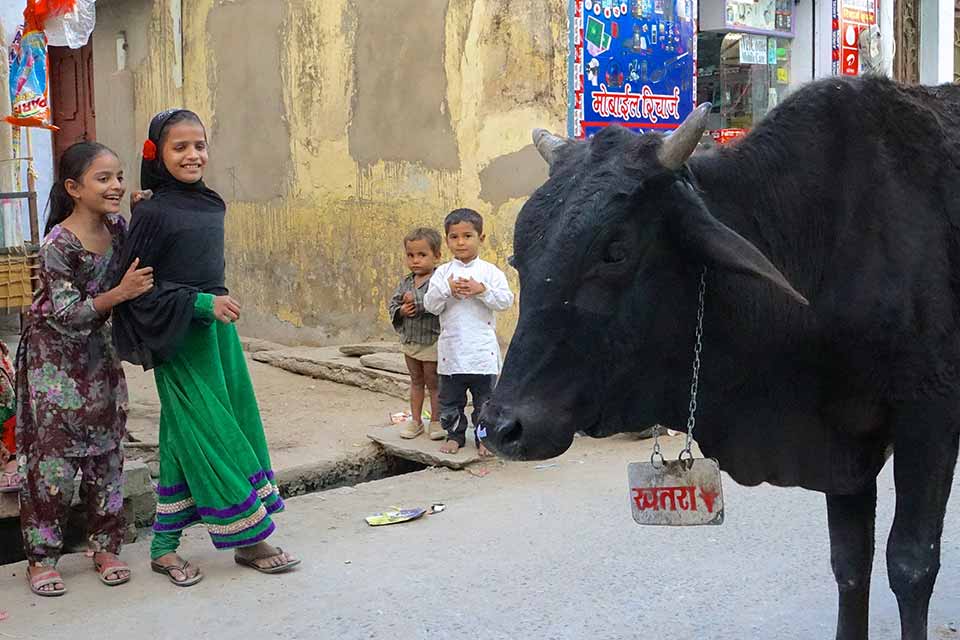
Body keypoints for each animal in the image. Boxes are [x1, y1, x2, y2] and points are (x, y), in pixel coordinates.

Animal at [480, 79, 960, 640]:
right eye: (520, 253)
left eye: (614, 250)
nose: (502, 426)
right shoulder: (842, 442)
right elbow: (849, 563)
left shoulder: (930, 419)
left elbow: (911, 563)